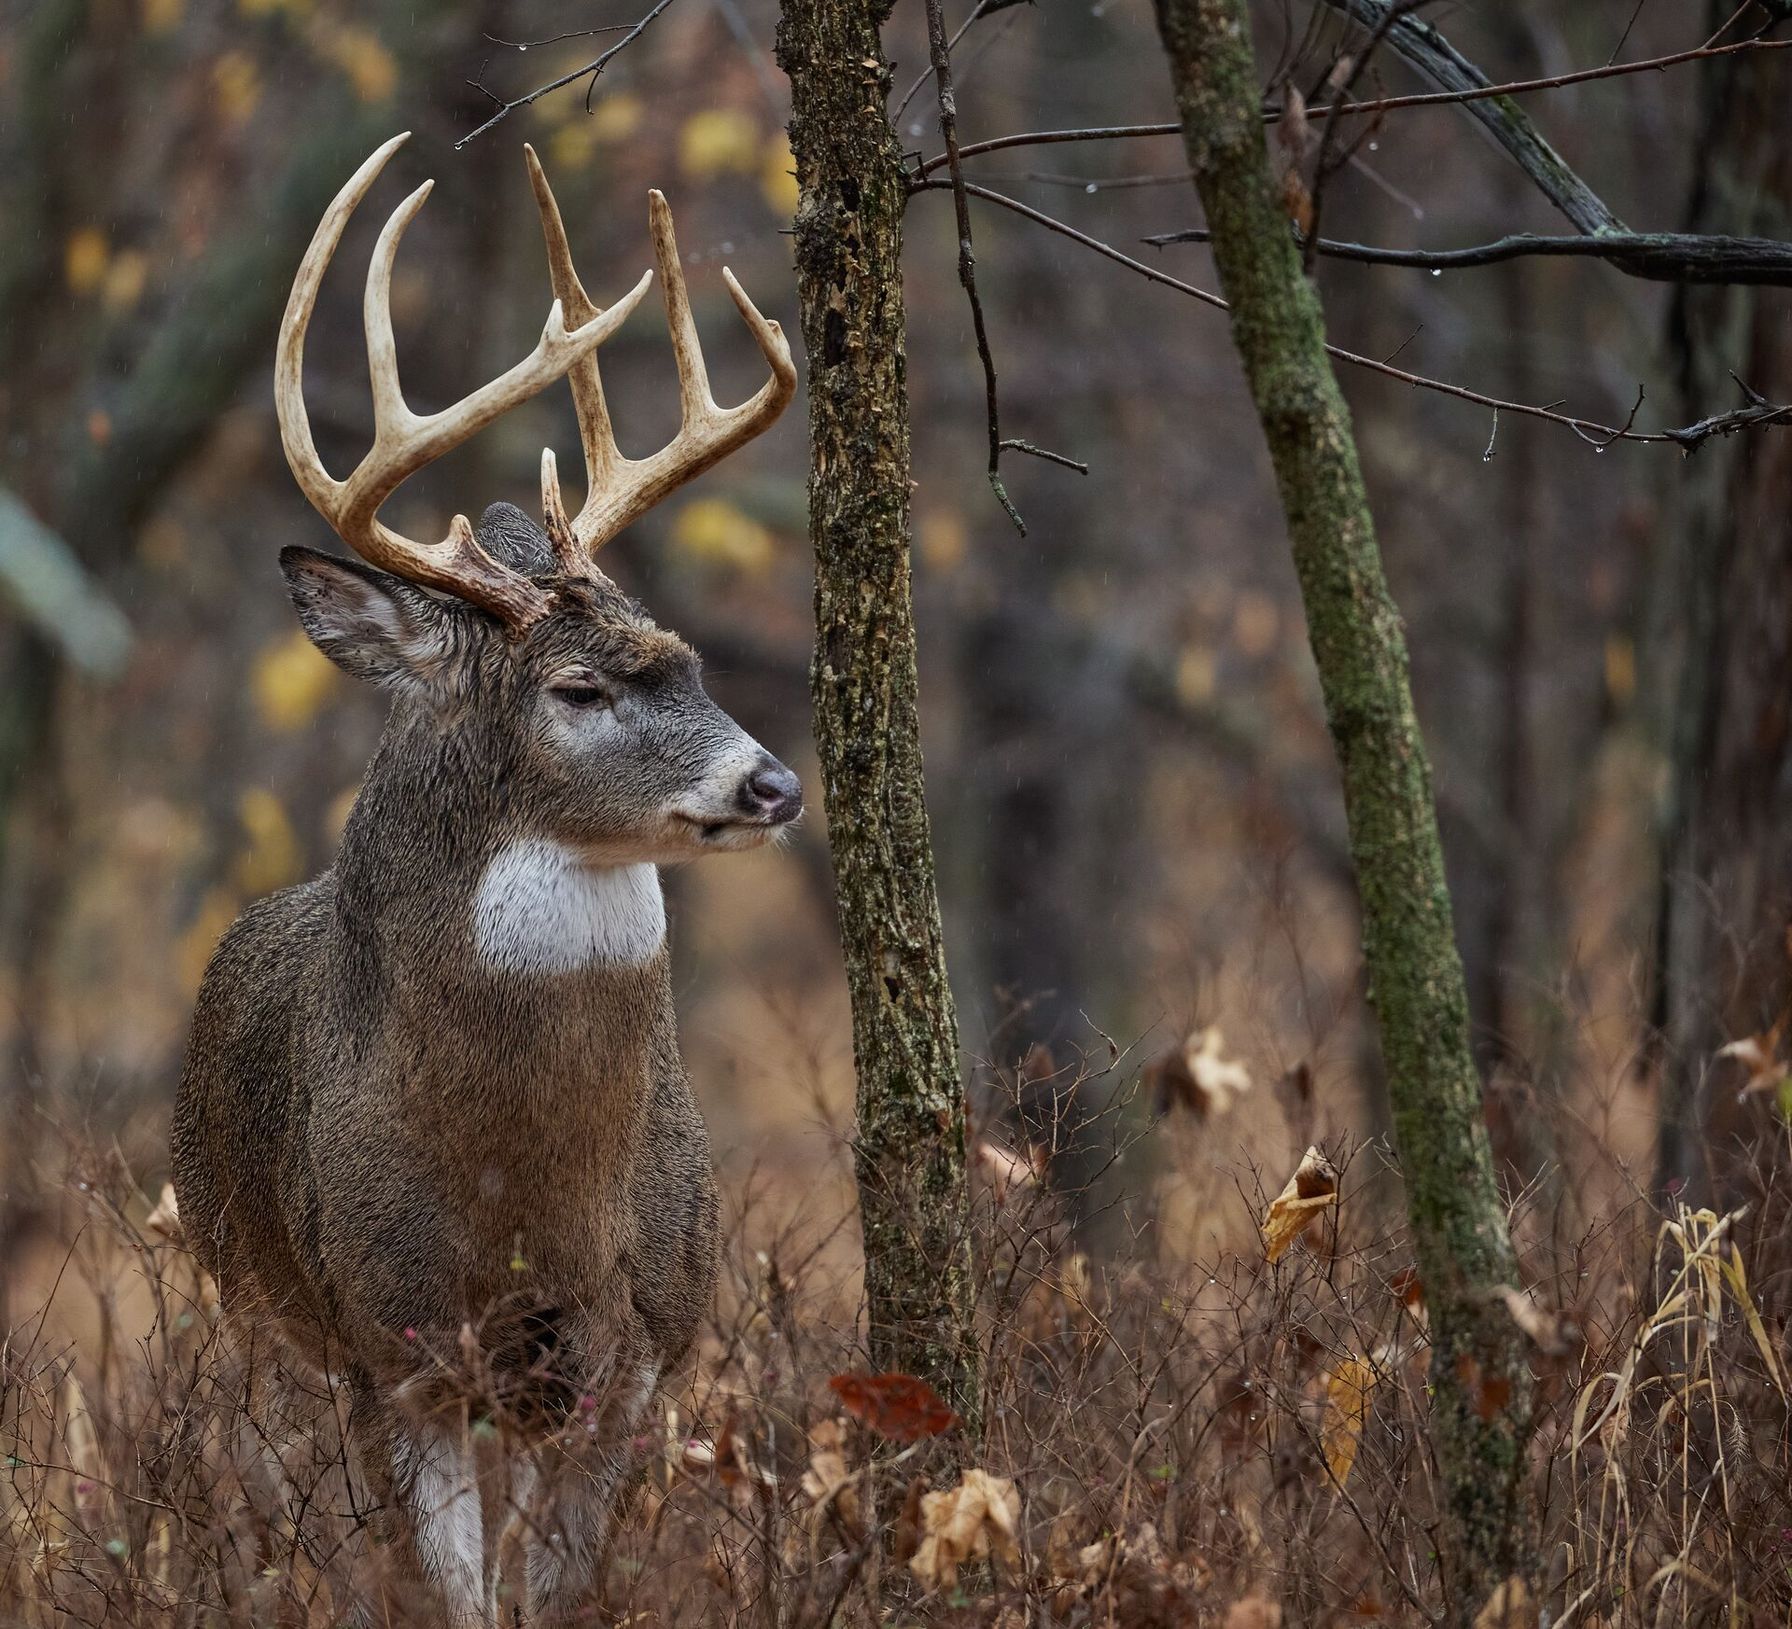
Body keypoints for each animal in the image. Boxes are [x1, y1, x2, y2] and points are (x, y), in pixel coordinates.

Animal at [169, 132, 800, 1625]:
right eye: (578, 688)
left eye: (690, 657)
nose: (773, 786)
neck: (527, 1207)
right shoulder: (386, 1346)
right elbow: (452, 1594)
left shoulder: (647, 1344)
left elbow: (555, 1589)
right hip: (246, 1304)